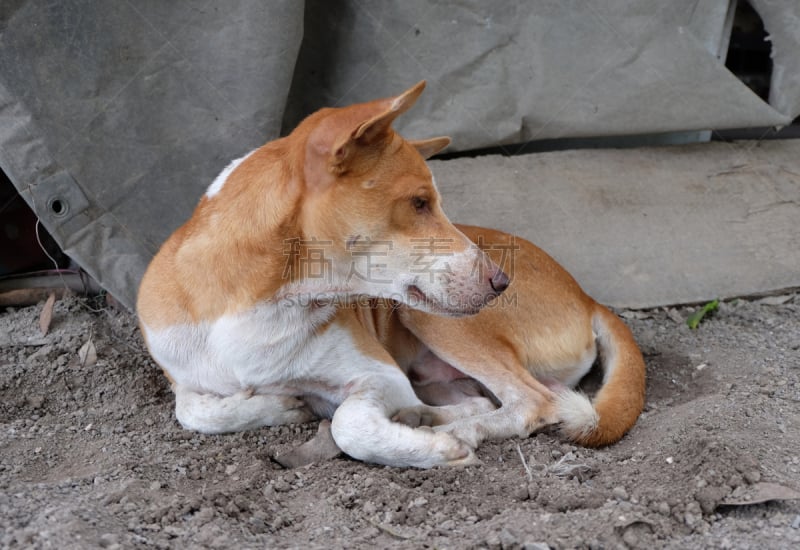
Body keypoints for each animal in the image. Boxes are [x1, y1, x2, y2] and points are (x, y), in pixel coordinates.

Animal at [138, 83, 648, 470]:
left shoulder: (379, 376)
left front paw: (433, 447)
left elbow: (348, 425)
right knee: (496, 399)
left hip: (428, 318)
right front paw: (276, 405)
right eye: (420, 203)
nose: (502, 283)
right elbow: (192, 411)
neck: (262, 300)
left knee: (531, 402)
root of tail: (586, 296)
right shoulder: (181, 371)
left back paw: (453, 430)